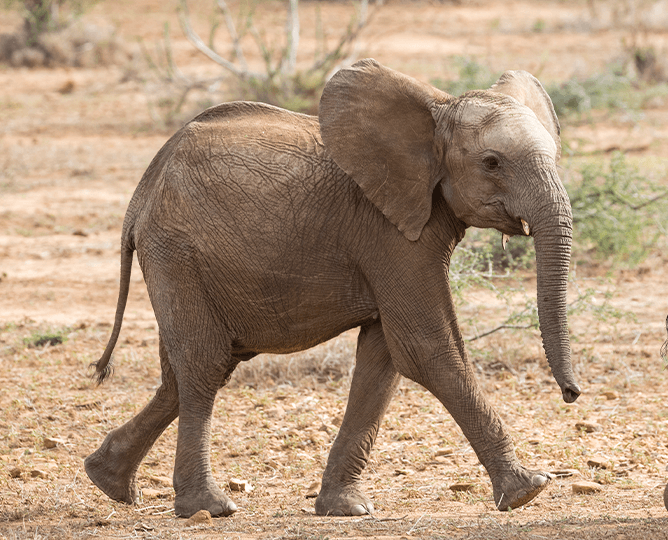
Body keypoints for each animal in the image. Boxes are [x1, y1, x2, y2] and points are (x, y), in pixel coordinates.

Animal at [85, 59, 580, 520]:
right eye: (492, 163)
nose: (571, 395)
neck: (436, 112)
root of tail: (141, 193)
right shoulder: (389, 233)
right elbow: (427, 348)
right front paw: (528, 490)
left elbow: (383, 360)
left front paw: (346, 508)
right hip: (176, 251)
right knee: (203, 366)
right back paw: (207, 507)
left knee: (190, 371)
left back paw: (108, 481)